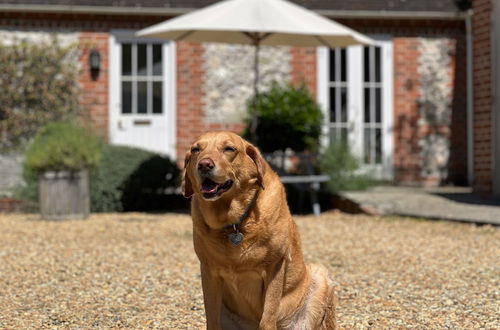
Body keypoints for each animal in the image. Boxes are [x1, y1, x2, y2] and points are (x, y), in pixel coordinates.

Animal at [183, 131, 336, 330]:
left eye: (229, 149)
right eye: (196, 149)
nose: (204, 164)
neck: (235, 223)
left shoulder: (276, 266)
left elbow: (267, 317)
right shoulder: (209, 270)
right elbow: (212, 318)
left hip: (320, 276)